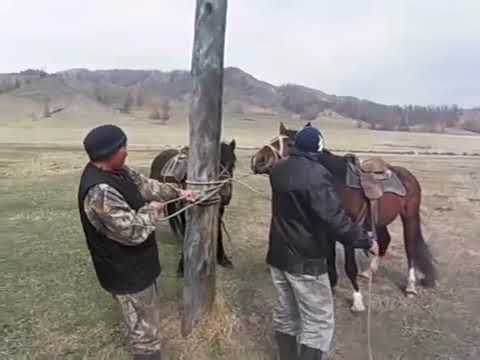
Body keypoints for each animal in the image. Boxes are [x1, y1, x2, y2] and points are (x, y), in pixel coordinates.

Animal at [150, 140, 236, 276]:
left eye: (233, 164)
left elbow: (219, 233)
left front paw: (223, 259)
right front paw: (182, 265)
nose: (225, 195)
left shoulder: (219, 211)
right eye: (215, 166)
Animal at [251, 122, 438, 310]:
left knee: (410, 248)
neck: (336, 184)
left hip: (409, 217)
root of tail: (408, 175)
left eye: (289, 143)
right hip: (379, 221)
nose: (258, 160)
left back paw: (410, 286)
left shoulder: (349, 232)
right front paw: (332, 288)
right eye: (273, 140)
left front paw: (357, 300)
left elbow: (350, 267)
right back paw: (369, 272)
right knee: (385, 240)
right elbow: (330, 260)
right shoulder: (328, 233)